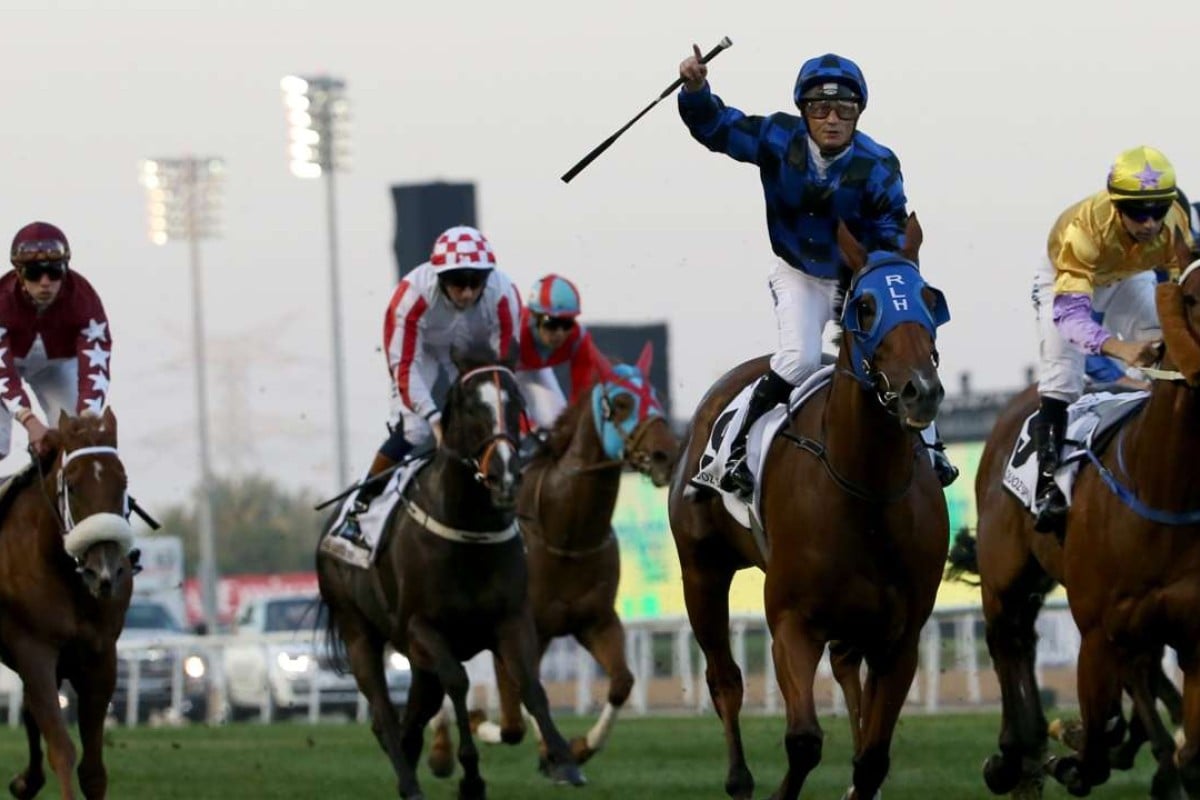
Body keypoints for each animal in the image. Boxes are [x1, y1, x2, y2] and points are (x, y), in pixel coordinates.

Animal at [0, 412, 136, 800]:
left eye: (122, 482)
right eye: (72, 486)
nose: (105, 571)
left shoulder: (100, 655)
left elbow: (93, 769)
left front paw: (25, 782)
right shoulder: (34, 648)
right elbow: (61, 747)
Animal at [316, 350, 583, 800]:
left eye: (515, 403)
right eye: (473, 406)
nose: (505, 476)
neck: (467, 529)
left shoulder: (512, 618)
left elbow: (530, 683)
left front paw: (564, 760)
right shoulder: (422, 628)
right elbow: (458, 682)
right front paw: (471, 776)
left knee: (412, 711)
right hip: (358, 631)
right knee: (383, 708)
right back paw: (409, 781)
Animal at [432, 343, 681, 767]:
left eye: (658, 397)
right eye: (621, 402)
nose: (668, 454)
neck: (566, 536)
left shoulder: (595, 619)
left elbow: (621, 682)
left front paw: (579, 747)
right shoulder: (513, 629)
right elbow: (512, 721)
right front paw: (494, 725)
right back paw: (440, 744)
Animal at [667, 214, 945, 800]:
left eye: (930, 299)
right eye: (866, 307)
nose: (921, 391)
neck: (864, 490)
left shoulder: (901, 637)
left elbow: (872, 759)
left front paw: (862, 782)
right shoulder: (792, 622)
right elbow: (804, 740)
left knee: (846, 671)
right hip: (701, 570)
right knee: (724, 679)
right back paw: (739, 780)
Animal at [955, 251, 1200, 800]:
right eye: (1193, 297)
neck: (1162, 487)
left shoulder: (1187, 632)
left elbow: (1184, 744)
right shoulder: (1099, 631)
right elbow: (1094, 751)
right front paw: (1072, 745)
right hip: (1006, 571)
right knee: (1008, 637)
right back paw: (1014, 750)